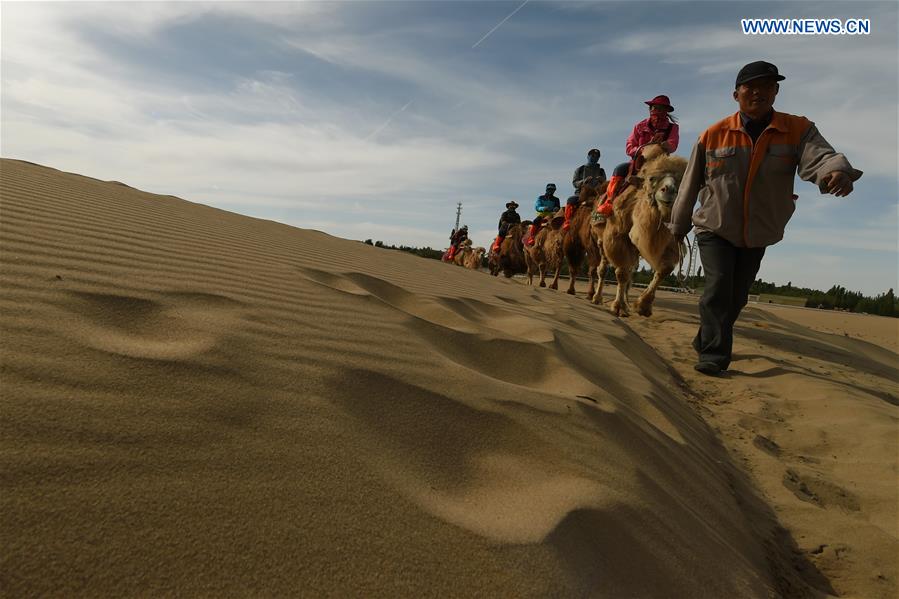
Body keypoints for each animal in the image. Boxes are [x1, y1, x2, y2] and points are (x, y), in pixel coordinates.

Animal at [592, 144, 688, 318]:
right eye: (651, 179)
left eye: (681, 181)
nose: (669, 190)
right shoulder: (617, 236)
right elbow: (621, 272)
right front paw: (619, 307)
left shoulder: (669, 240)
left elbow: (664, 268)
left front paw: (642, 306)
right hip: (601, 239)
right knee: (603, 269)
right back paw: (597, 298)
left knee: (630, 273)